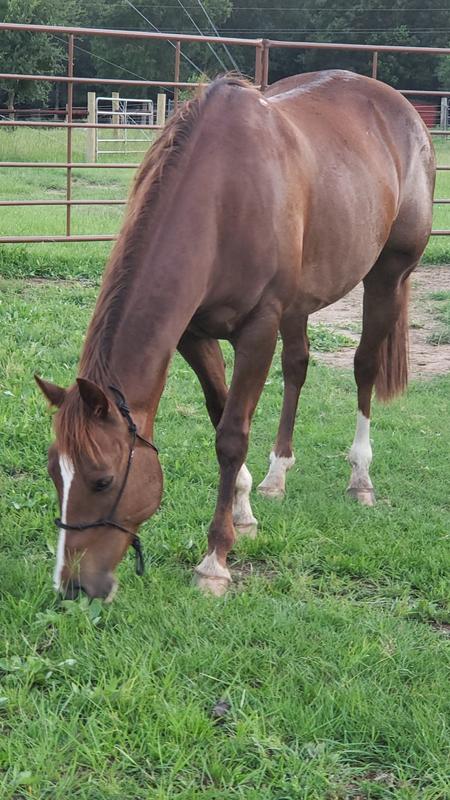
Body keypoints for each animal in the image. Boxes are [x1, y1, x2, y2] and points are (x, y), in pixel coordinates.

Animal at [36, 70, 435, 600]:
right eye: (53, 475)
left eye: (101, 480)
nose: (72, 587)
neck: (221, 200)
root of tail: (402, 109)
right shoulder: (193, 334)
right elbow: (219, 411)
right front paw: (245, 512)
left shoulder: (258, 330)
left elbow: (231, 436)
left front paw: (214, 561)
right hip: (300, 304)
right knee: (297, 367)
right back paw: (277, 473)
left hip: (387, 276)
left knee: (364, 368)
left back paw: (361, 478)